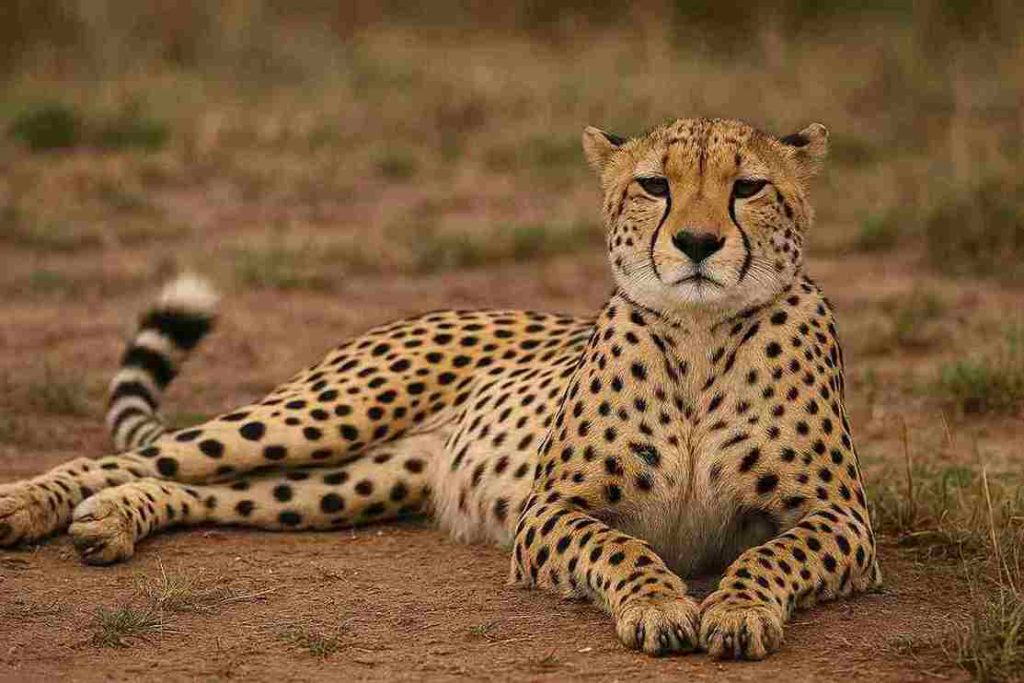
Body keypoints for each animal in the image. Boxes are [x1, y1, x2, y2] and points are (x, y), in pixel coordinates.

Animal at [0, 117, 881, 660]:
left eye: (749, 187)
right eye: (655, 185)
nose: (697, 242)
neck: (700, 337)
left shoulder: (845, 519)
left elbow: (774, 549)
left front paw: (735, 607)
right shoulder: (550, 510)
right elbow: (622, 545)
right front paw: (662, 604)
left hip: (353, 481)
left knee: (206, 487)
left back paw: (112, 519)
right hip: (328, 413)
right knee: (144, 454)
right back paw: (33, 503)